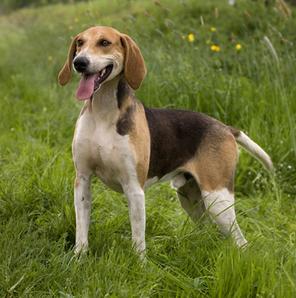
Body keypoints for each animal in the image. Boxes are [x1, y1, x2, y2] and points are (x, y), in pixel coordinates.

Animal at [57, 26, 272, 258]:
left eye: (104, 42)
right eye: (80, 42)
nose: (79, 62)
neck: (103, 113)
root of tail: (225, 127)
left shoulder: (134, 188)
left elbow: (138, 238)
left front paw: (140, 263)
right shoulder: (83, 180)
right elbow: (82, 229)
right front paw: (79, 258)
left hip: (218, 198)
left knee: (240, 240)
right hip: (191, 198)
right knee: (208, 229)